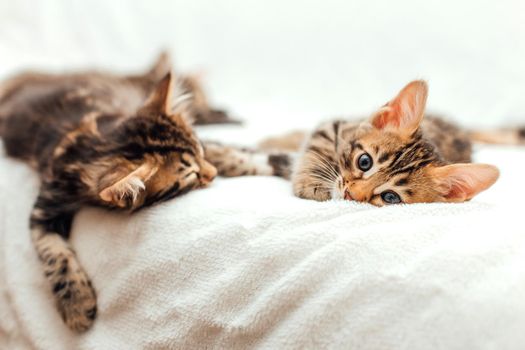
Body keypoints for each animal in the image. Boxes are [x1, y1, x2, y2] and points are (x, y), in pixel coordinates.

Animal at [0, 54, 221, 330]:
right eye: (192, 177)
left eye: (199, 149)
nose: (213, 174)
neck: (93, 146)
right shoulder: (46, 204)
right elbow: (53, 253)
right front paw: (76, 303)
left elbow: (224, 150)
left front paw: (243, 161)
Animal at [207, 79, 520, 205]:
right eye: (365, 161)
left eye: (390, 197)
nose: (350, 195)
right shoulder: (332, 127)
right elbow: (310, 152)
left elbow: (275, 160)